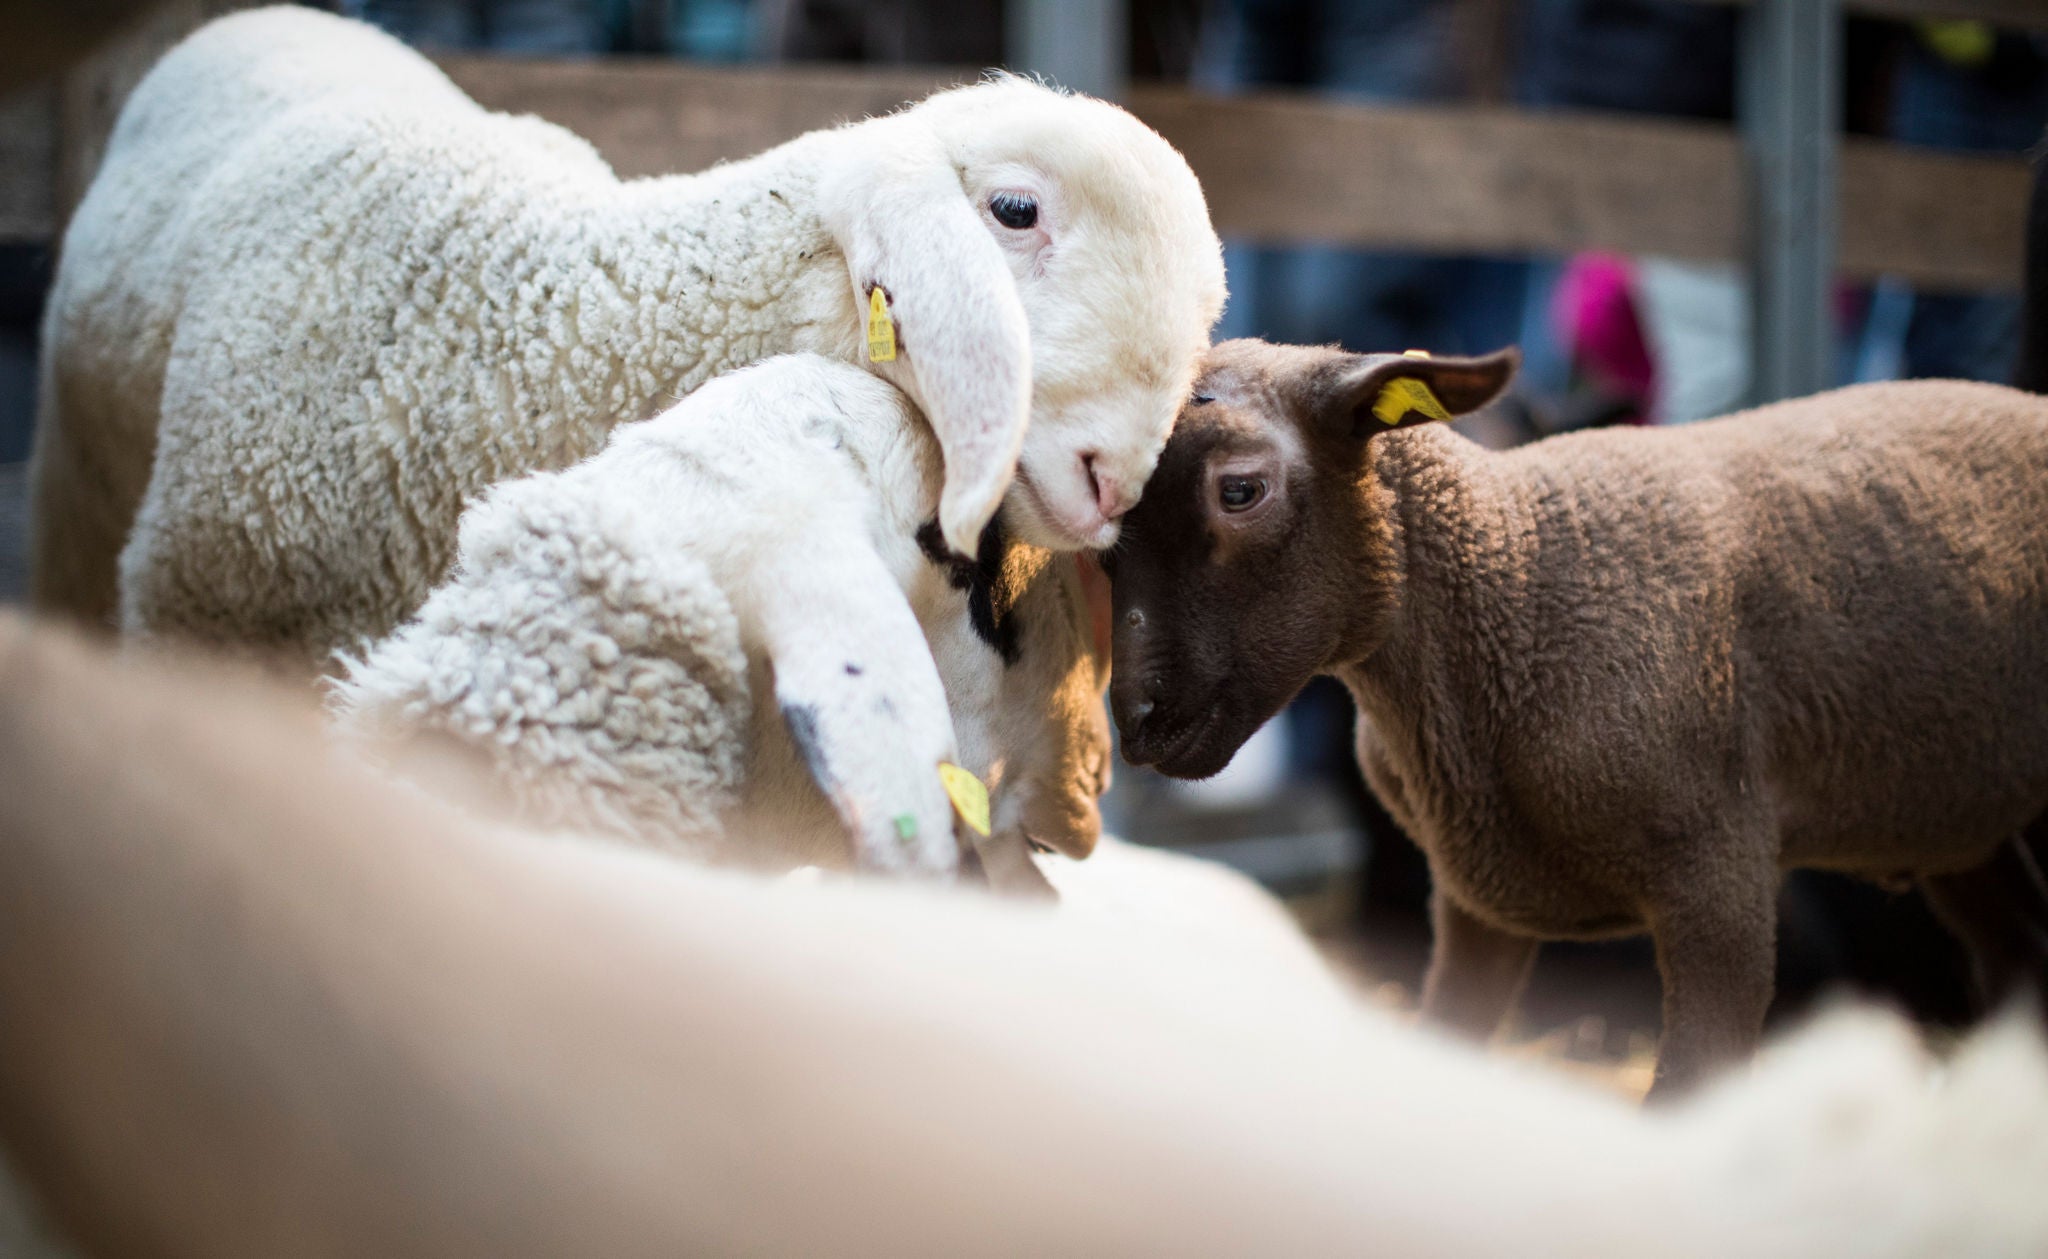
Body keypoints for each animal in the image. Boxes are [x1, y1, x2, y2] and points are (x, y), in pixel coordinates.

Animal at [1114, 339, 2048, 1097]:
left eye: (1240, 490)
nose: (1133, 715)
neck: (1517, 573)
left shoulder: (1721, 880)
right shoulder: (1477, 909)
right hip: (1960, 813)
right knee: (2014, 960)